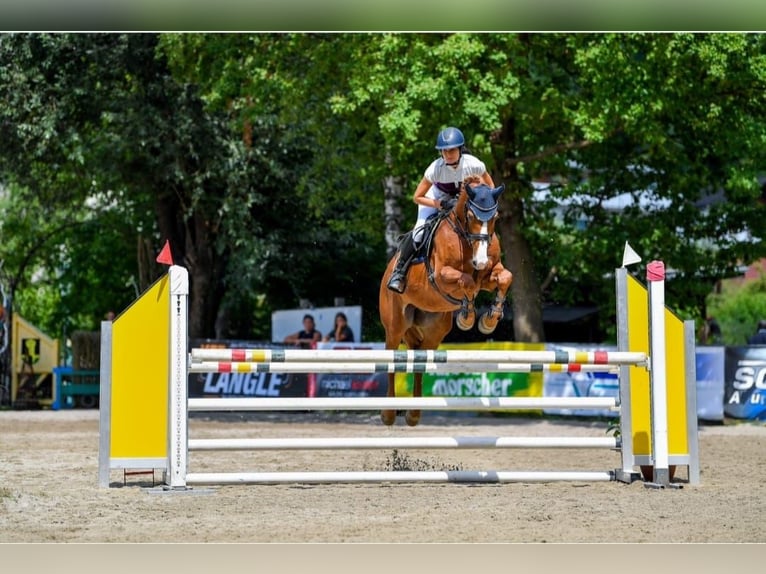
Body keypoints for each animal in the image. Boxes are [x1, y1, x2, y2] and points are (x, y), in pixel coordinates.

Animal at [380, 183, 516, 428]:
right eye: (470, 216)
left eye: (495, 217)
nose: (480, 261)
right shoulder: (441, 275)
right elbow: (468, 281)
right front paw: (468, 317)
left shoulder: (490, 275)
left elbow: (504, 277)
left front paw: (488, 319)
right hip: (395, 325)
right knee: (391, 360)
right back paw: (388, 413)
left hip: (435, 330)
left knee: (420, 362)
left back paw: (413, 414)